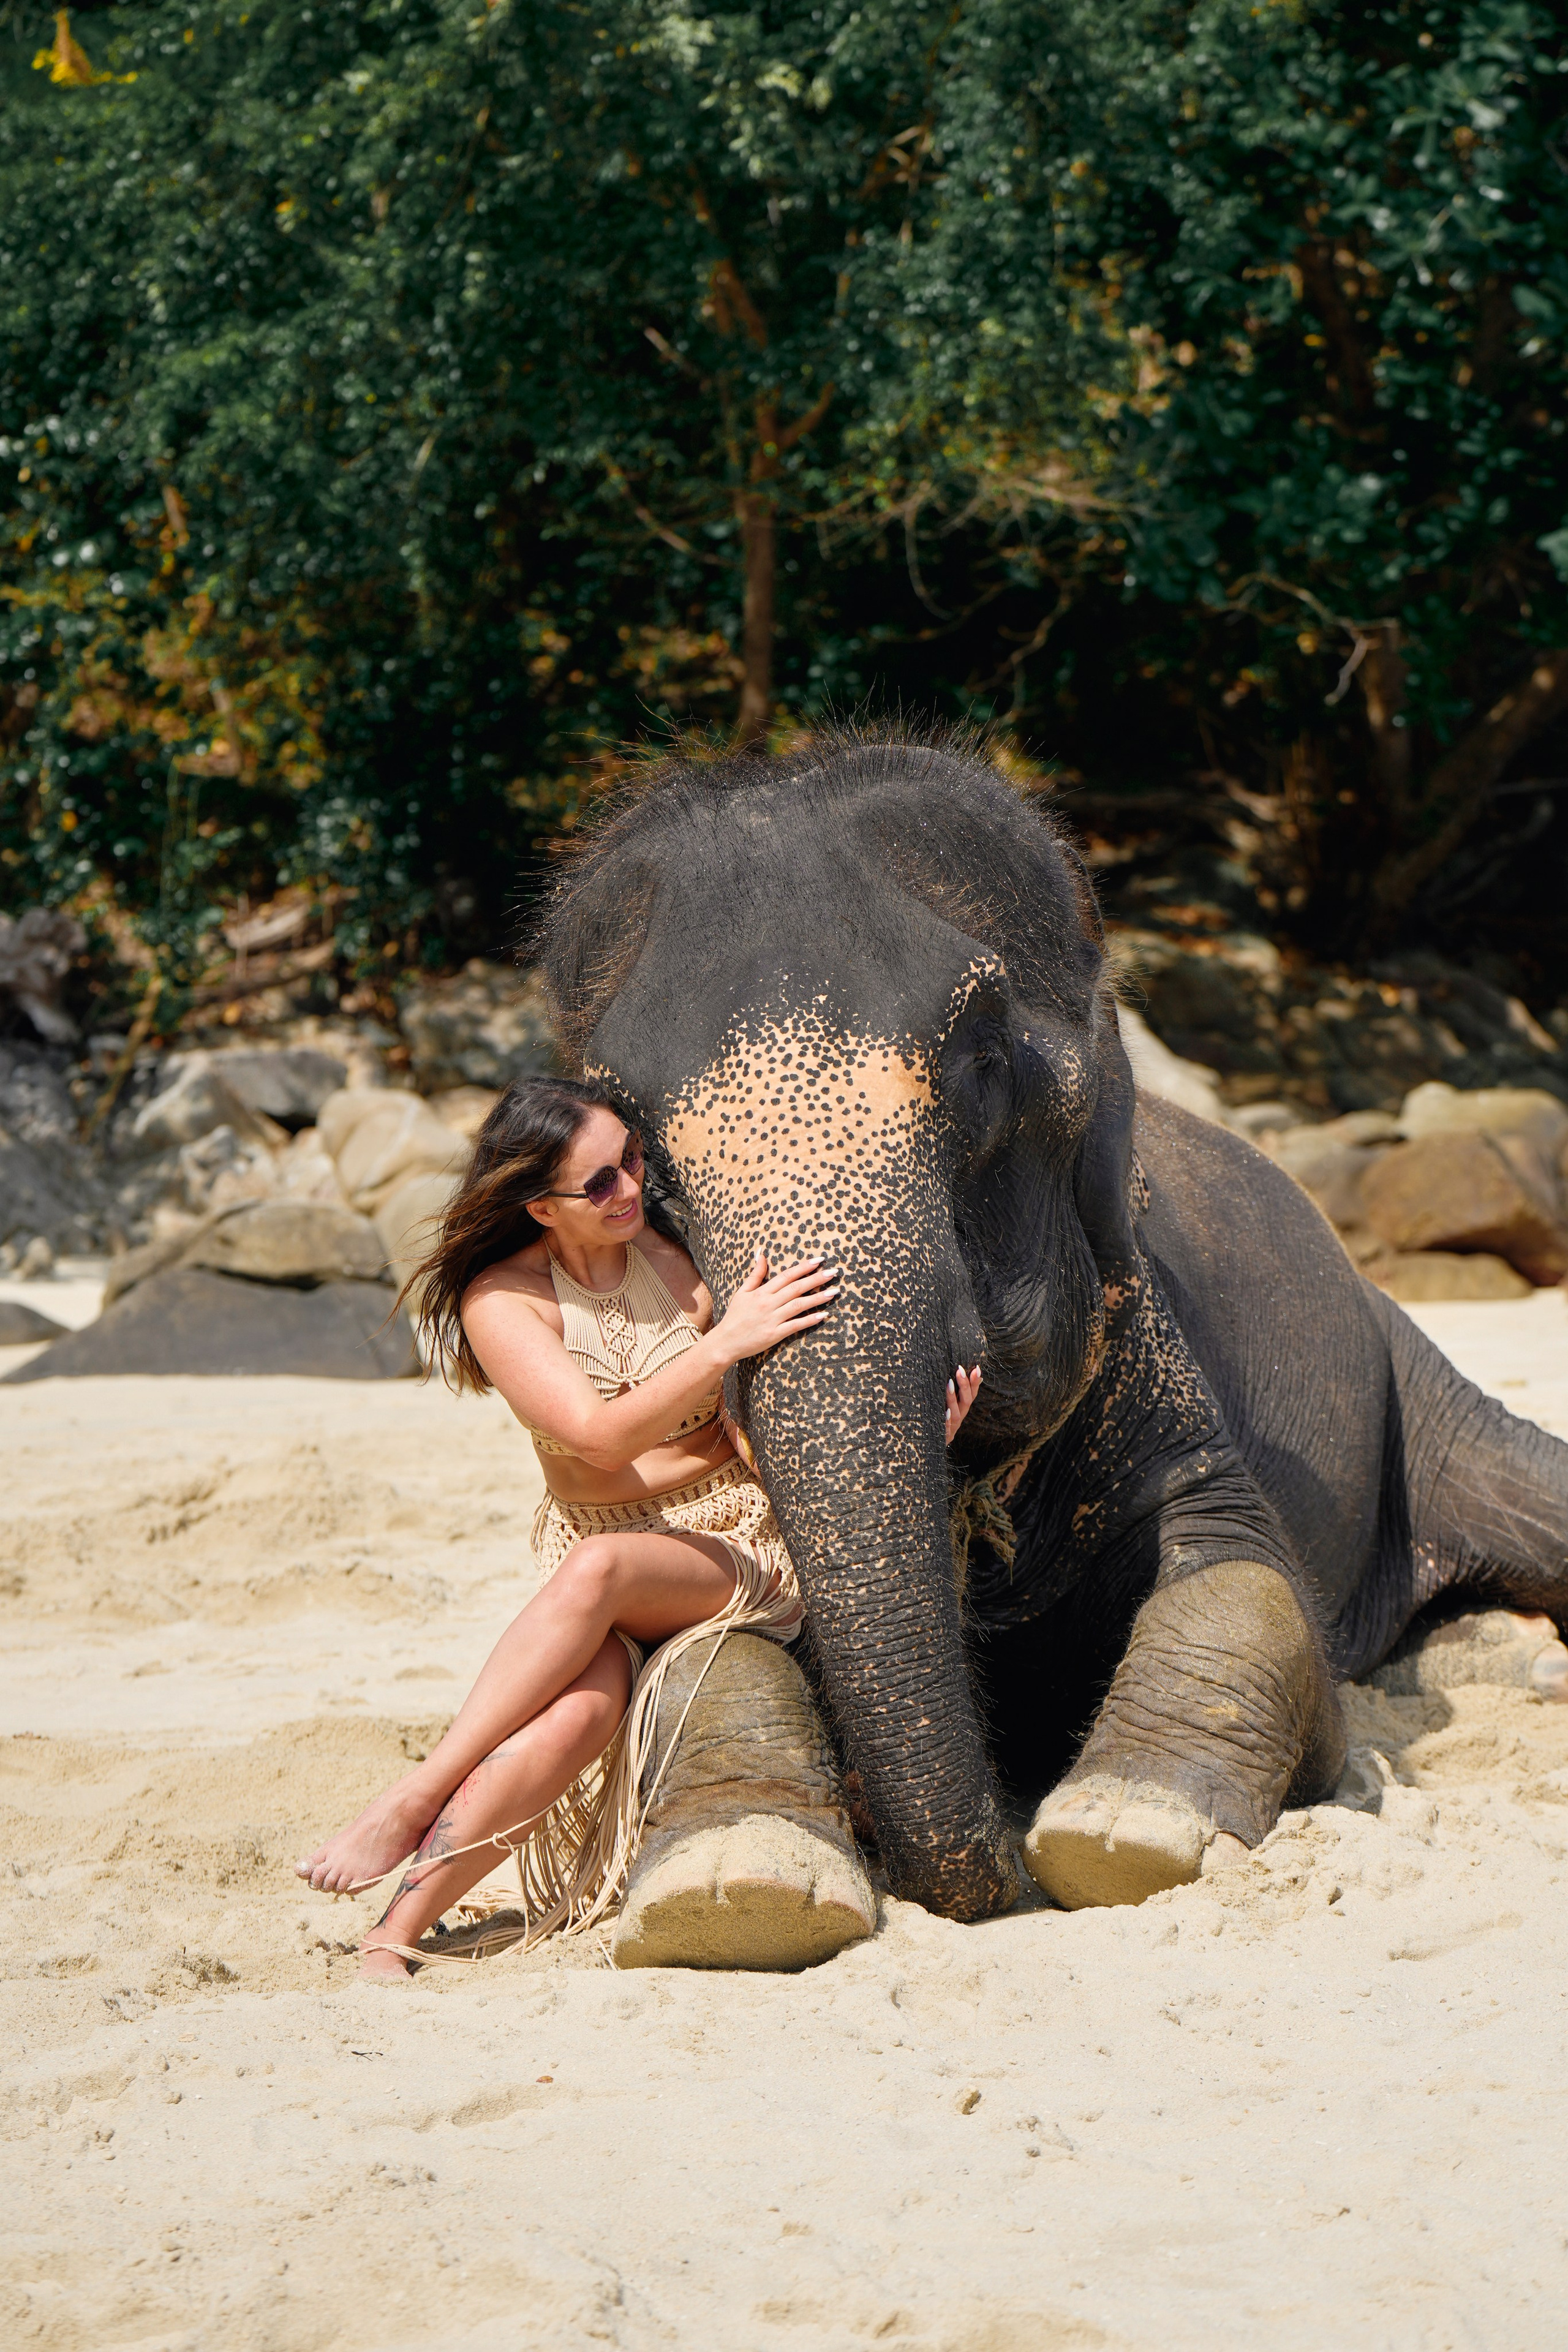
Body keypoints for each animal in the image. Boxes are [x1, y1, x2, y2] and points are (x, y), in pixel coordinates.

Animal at [533, 732, 1568, 1965]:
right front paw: (737, 1889)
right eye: (640, 1154)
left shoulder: (1154, 1347)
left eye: (985, 1057)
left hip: (1409, 1373)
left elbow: (1251, 1582)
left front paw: (1126, 1832)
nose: (977, 1863)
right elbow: (700, 1629)